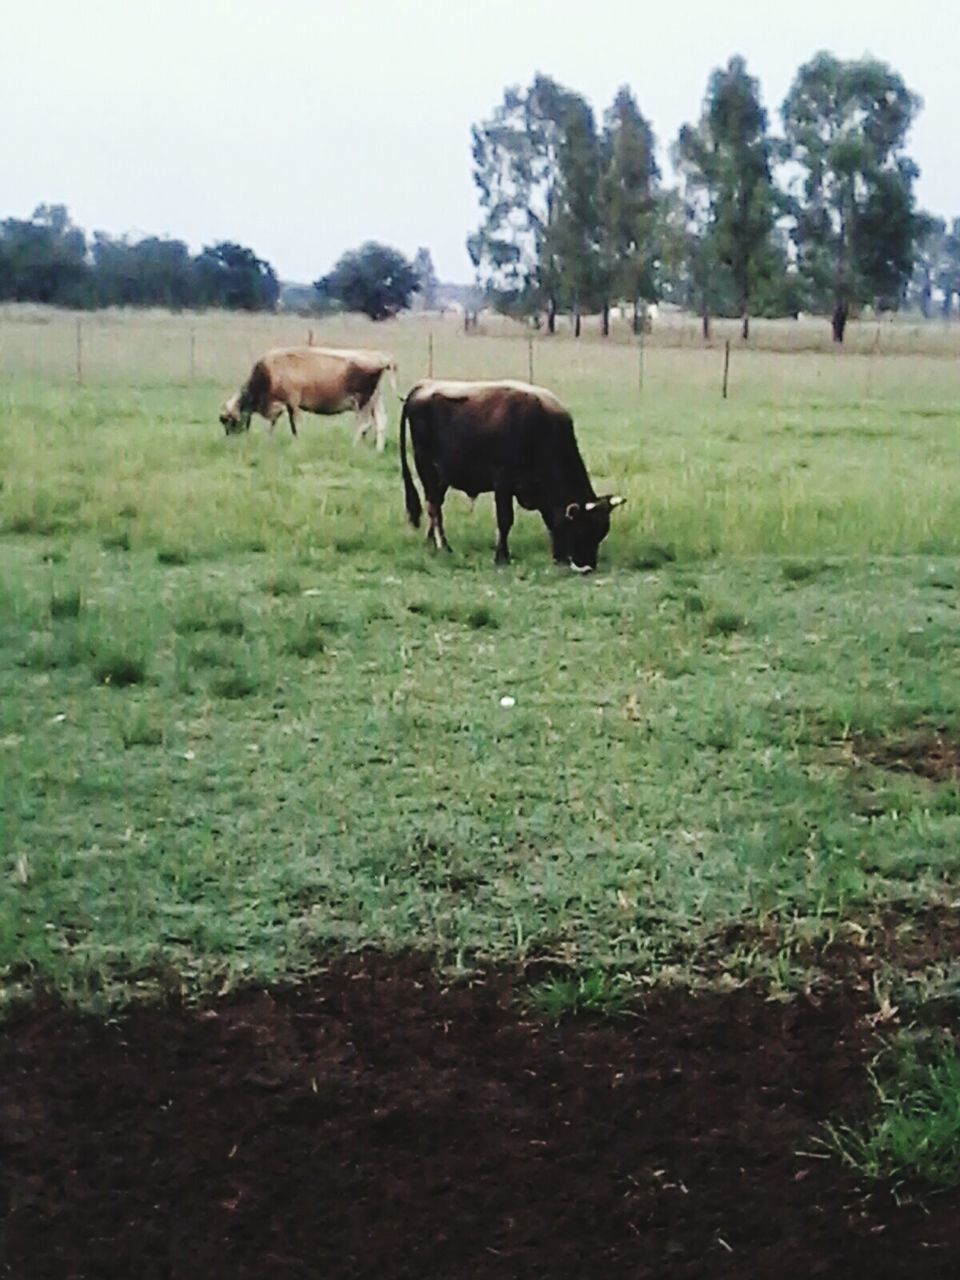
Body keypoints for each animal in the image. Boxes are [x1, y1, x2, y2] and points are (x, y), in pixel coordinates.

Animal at [217, 348, 399, 453]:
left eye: (229, 422)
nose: (229, 443)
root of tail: (382, 358)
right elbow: (274, 425)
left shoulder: (292, 402)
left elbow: (294, 426)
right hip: (375, 399)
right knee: (381, 422)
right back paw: (378, 450)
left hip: (363, 401)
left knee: (365, 424)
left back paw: (353, 446)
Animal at [399, 376, 624, 573]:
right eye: (581, 530)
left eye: (600, 533)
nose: (587, 567)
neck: (539, 427)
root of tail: (424, 385)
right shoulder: (503, 481)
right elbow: (505, 519)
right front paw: (501, 557)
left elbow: (551, 521)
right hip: (426, 466)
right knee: (434, 507)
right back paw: (443, 547)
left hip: (442, 475)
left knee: (434, 504)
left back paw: (431, 544)